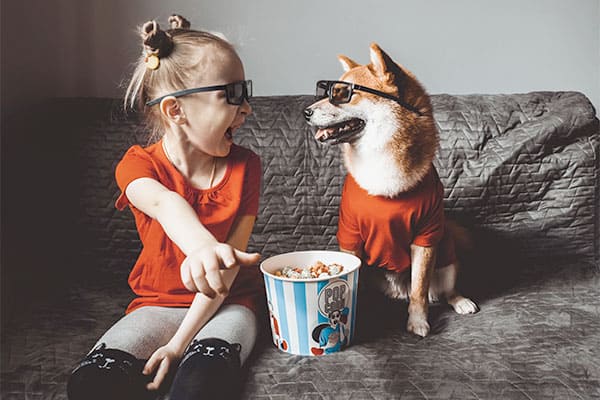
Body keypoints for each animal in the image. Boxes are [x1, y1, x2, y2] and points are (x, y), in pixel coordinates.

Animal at [304, 43, 478, 338]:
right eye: (327, 92)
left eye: (343, 94)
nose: (305, 112)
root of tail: (399, 291)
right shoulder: (350, 236)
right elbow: (354, 283)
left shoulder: (425, 237)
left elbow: (420, 290)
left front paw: (418, 322)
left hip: (447, 253)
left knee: (444, 291)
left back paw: (460, 300)